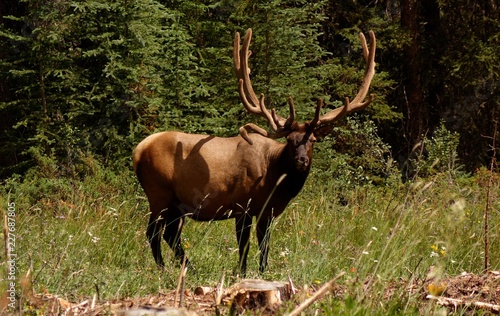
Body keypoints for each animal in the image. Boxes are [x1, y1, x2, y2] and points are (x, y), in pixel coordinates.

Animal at [133, 28, 376, 272]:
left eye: (313, 140)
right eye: (290, 140)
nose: (301, 160)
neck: (274, 178)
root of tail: (138, 150)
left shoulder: (267, 211)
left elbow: (264, 246)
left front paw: (263, 271)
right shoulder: (242, 205)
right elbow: (244, 246)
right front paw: (241, 272)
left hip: (176, 205)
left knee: (170, 234)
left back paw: (187, 268)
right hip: (159, 192)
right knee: (153, 232)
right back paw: (164, 269)